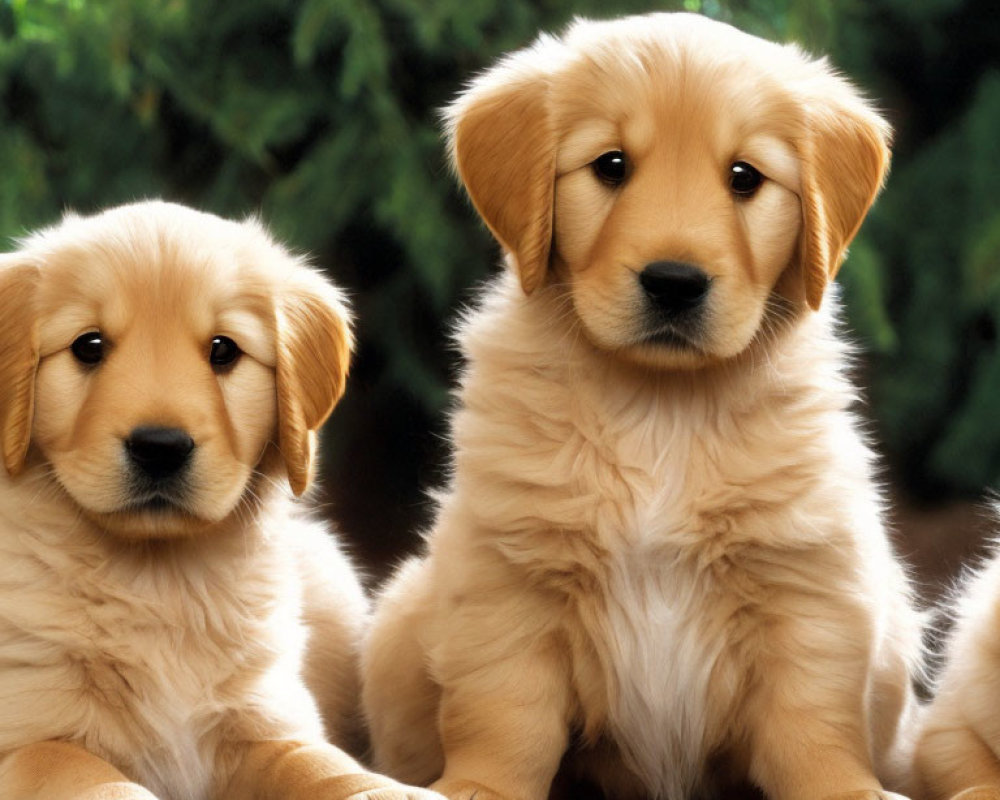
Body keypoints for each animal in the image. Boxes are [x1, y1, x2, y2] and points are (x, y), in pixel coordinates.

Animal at [0, 205, 440, 800]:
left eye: (224, 350)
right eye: (88, 347)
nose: (160, 447)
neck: (158, 582)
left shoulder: (266, 717)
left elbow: (322, 764)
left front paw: (386, 789)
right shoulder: (28, 736)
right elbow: (88, 777)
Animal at [364, 12, 924, 800]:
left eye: (745, 177)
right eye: (610, 166)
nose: (674, 283)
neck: (662, 408)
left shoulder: (806, 584)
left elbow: (812, 721)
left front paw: (844, 788)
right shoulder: (508, 580)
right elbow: (505, 715)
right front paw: (480, 786)